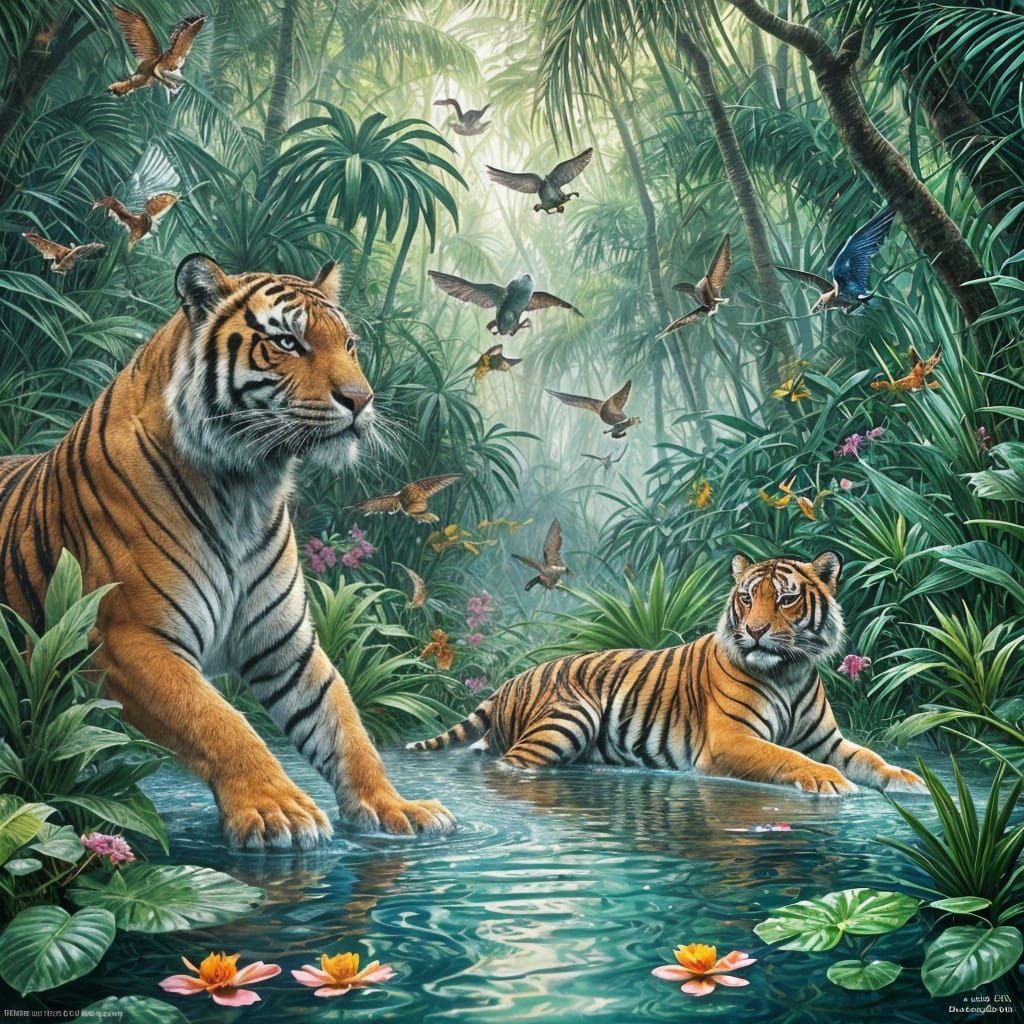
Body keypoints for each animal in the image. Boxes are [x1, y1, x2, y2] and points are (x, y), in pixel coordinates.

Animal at [0, 252, 454, 848]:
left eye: (349, 343)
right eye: (287, 342)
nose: (361, 400)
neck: (247, 486)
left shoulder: (286, 645)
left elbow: (344, 725)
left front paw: (393, 806)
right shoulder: (129, 638)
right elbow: (218, 721)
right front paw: (277, 810)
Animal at [408, 552, 925, 796]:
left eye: (785, 599)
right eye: (746, 597)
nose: (755, 631)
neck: (789, 672)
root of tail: (511, 681)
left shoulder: (828, 741)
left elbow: (871, 759)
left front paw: (909, 779)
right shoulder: (729, 741)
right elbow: (787, 758)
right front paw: (830, 782)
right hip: (569, 719)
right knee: (510, 763)